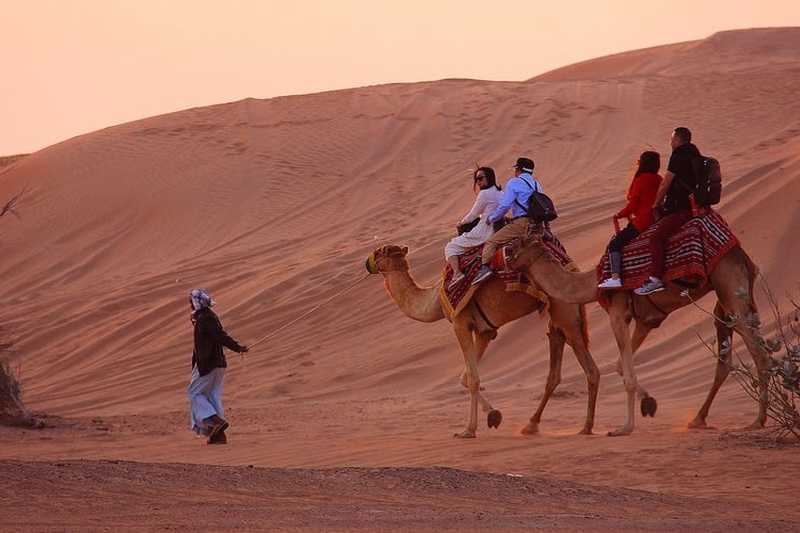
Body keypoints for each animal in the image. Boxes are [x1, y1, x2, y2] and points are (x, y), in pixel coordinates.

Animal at [364, 244, 600, 436]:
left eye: (379, 252)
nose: (366, 264)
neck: (435, 300)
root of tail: (574, 270)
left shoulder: (460, 323)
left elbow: (472, 378)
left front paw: (468, 430)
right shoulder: (485, 330)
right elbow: (465, 377)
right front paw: (493, 415)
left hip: (565, 313)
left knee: (591, 370)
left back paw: (586, 427)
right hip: (558, 319)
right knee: (554, 371)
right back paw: (531, 425)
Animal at [506, 237, 768, 436]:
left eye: (516, 245)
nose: (503, 258)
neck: (593, 283)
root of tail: (744, 257)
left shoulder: (617, 312)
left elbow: (628, 375)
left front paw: (624, 428)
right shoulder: (646, 320)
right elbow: (620, 366)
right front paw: (649, 404)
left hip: (730, 288)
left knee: (759, 354)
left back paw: (758, 420)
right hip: (725, 304)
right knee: (726, 360)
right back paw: (698, 419)